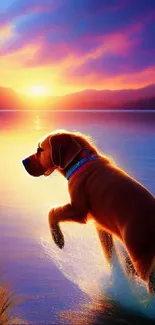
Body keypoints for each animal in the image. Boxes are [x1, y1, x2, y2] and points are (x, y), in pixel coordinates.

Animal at [22, 129, 155, 294]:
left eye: (40, 150)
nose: (23, 161)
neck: (81, 160)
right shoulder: (101, 226)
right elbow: (109, 253)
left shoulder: (78, 210)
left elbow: (52, 212)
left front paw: (58, 238)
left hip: (141, 255)